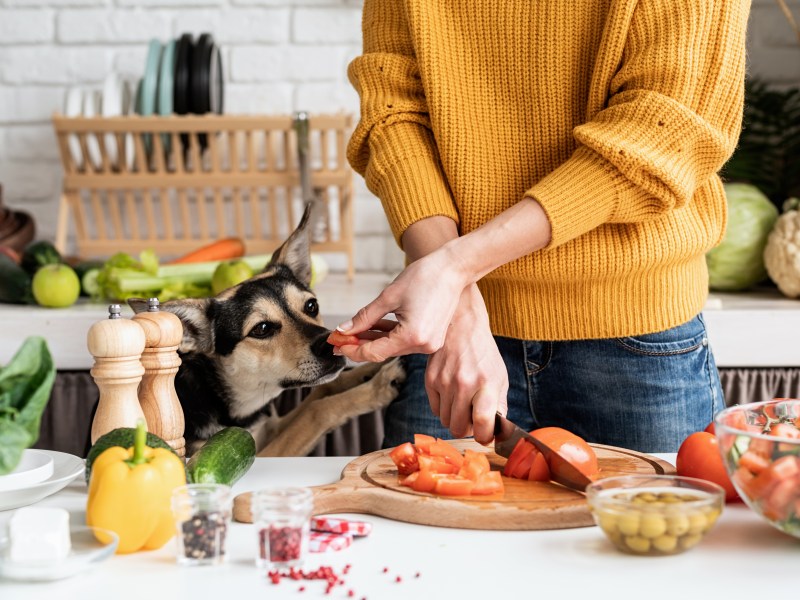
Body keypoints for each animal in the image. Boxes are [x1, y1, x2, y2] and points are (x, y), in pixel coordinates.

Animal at [131, 204, 406, 458]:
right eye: (261, 329)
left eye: (311, 305)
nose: (329, 345)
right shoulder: (256, 452)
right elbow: (318, 411)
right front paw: (377, 387)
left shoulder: (269, 427)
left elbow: (322, 391)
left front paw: (371, 368)